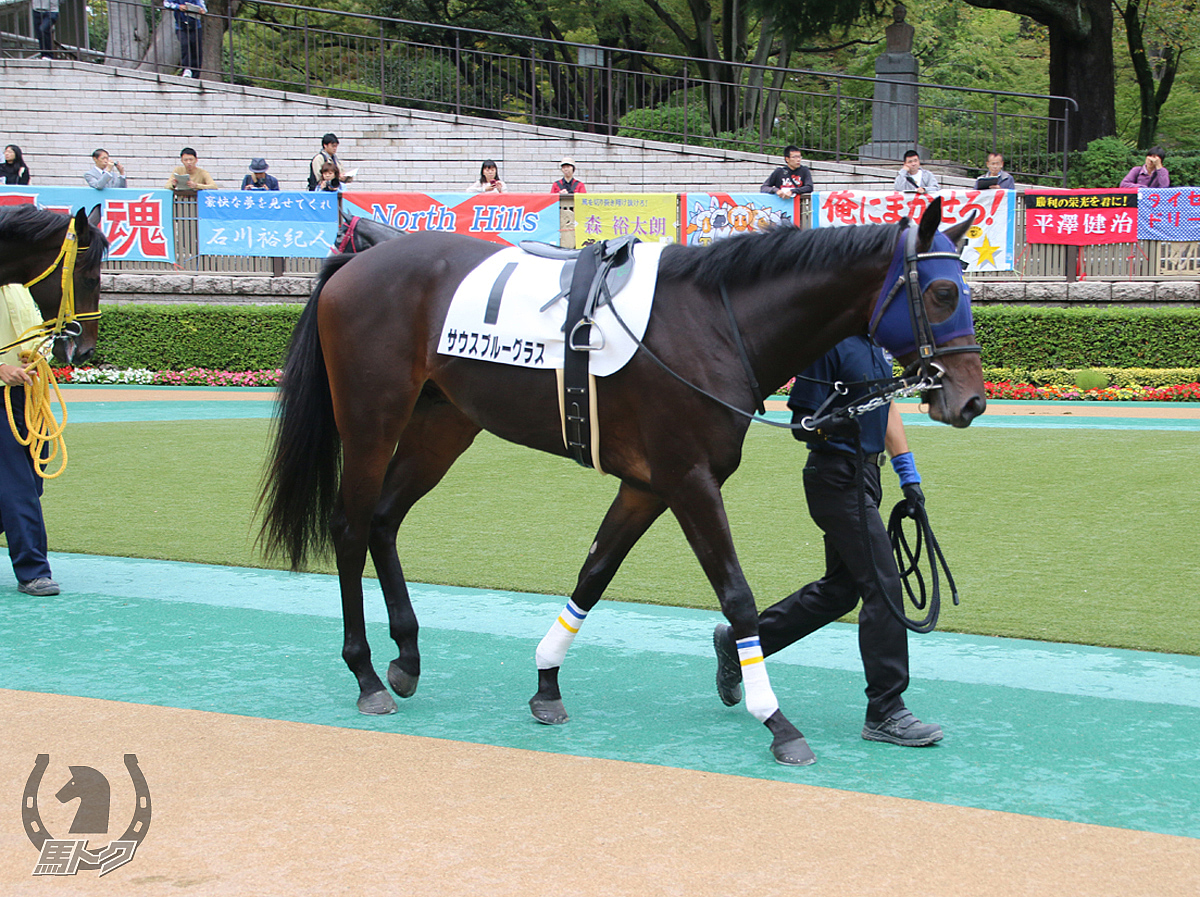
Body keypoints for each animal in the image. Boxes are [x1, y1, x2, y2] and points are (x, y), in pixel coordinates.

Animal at [258, 196, 979, 762]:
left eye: (966, 290)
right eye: (943, 293)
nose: (970, 401)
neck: (716, 324)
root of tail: (354, 261)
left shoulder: (647, 485)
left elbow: (594, 573)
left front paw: (547, 682)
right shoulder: (689, 480)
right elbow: (738, 598)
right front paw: (775, 719)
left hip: (444, 423)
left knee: (383, 519)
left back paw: (406, 657)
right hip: (371, 419)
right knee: (350, 527)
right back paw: (366, 675)